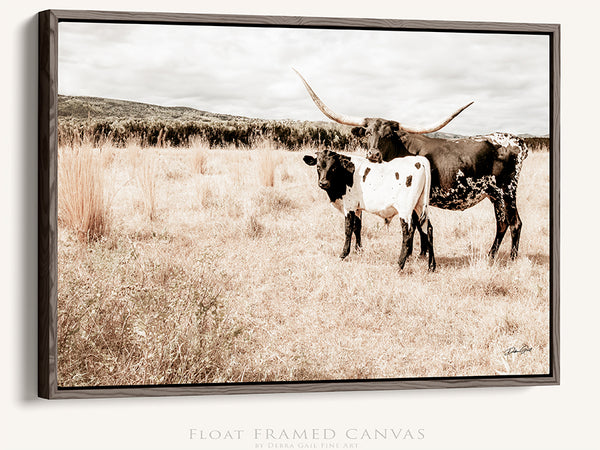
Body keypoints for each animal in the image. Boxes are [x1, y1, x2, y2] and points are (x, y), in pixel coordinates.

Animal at [304, 150, 436, 270]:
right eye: (318, 166)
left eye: (334, 167)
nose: (323, 183)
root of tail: (419, 160)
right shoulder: (357, 208)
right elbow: (357, 227)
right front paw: (359, 250)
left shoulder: (349, 206)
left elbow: (348, 230)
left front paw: (343, 254)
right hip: (420, 206)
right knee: (428, 229)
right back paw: (431, 266)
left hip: (405, 210)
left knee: (408, 233)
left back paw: (400, 265)